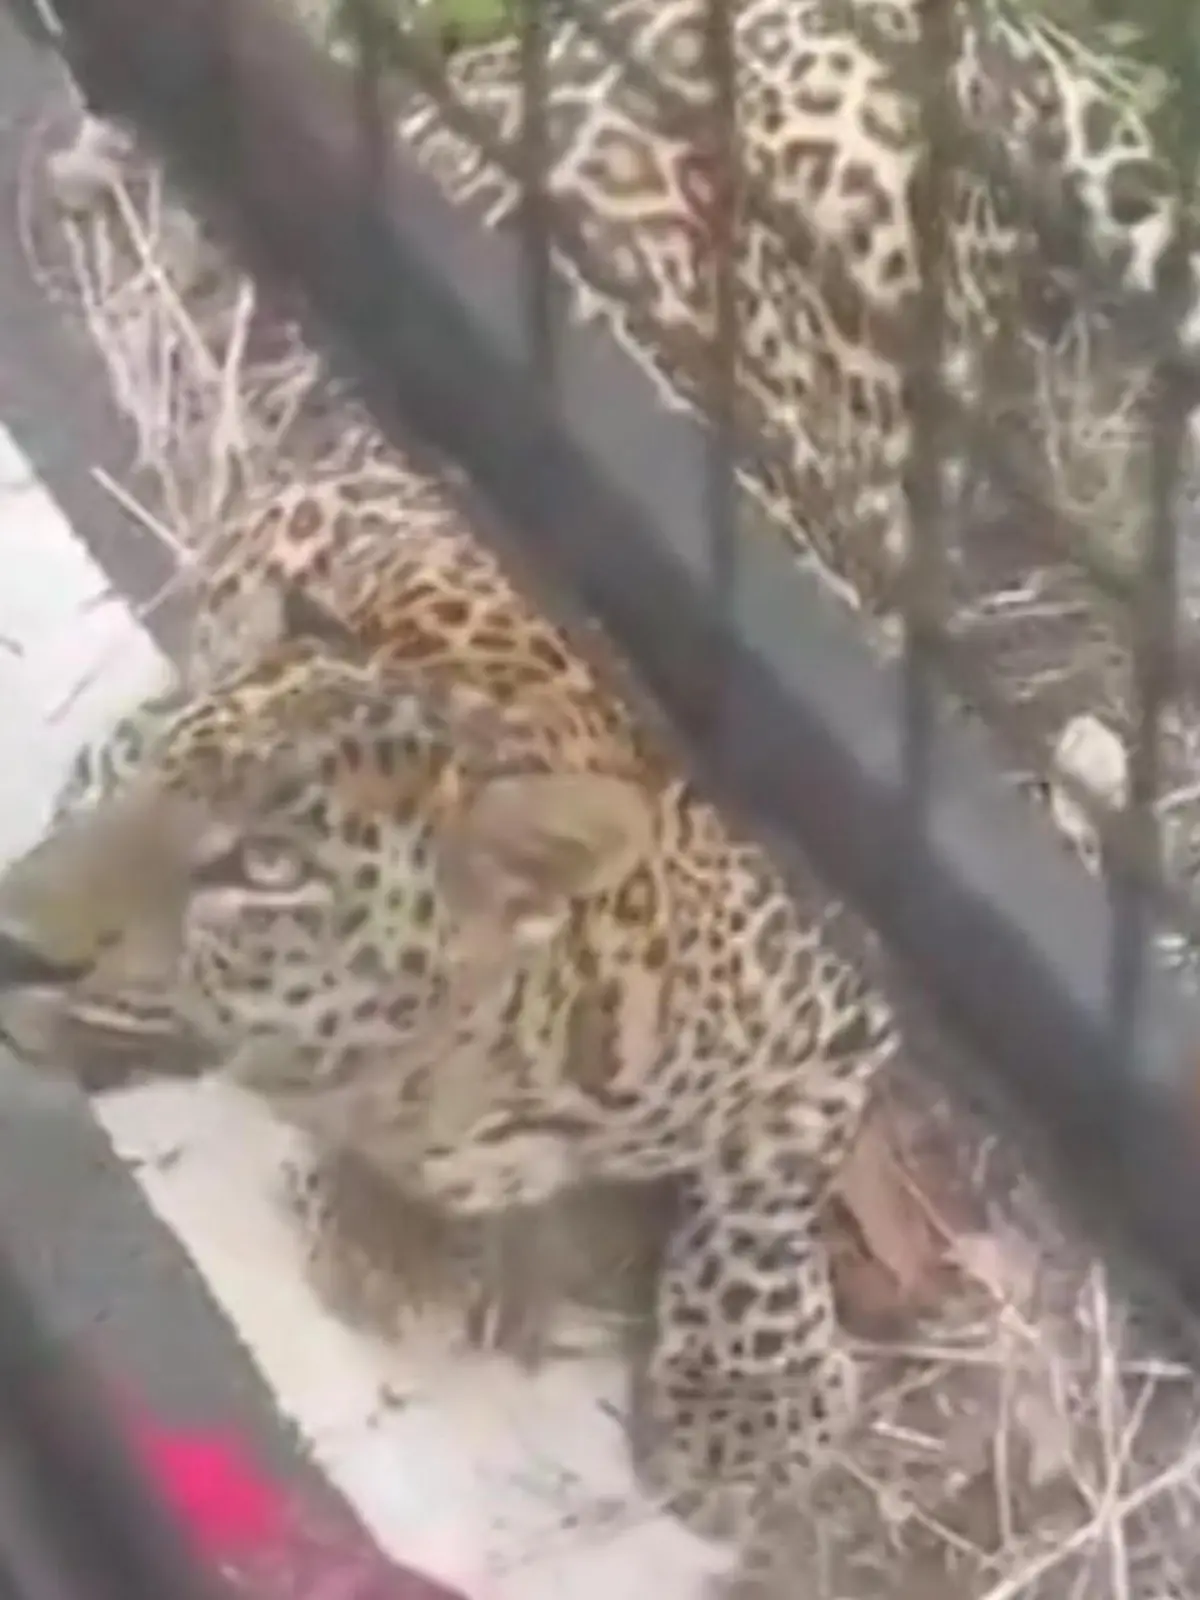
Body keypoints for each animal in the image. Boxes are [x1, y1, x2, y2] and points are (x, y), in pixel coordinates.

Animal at [0, 460, 899, 1588]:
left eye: (269, 869)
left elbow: (763, 1195)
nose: (12, 940)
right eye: (145, 787)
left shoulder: (834, 1007)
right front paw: (392, 1228)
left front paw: (748, 1402)